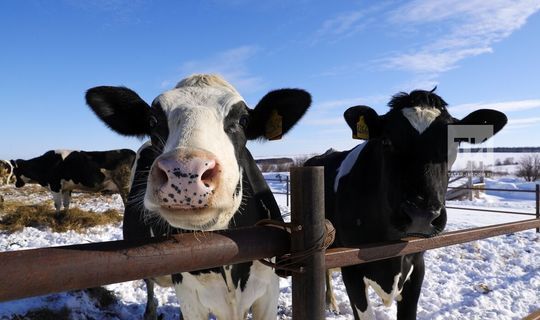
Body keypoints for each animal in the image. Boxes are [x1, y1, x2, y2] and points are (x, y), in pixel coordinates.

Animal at [306, 88, 508, 320]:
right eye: (387, 141)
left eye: (454, 141)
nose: (421, 215)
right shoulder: (352, 269)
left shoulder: (417, 264)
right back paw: (330, 302)